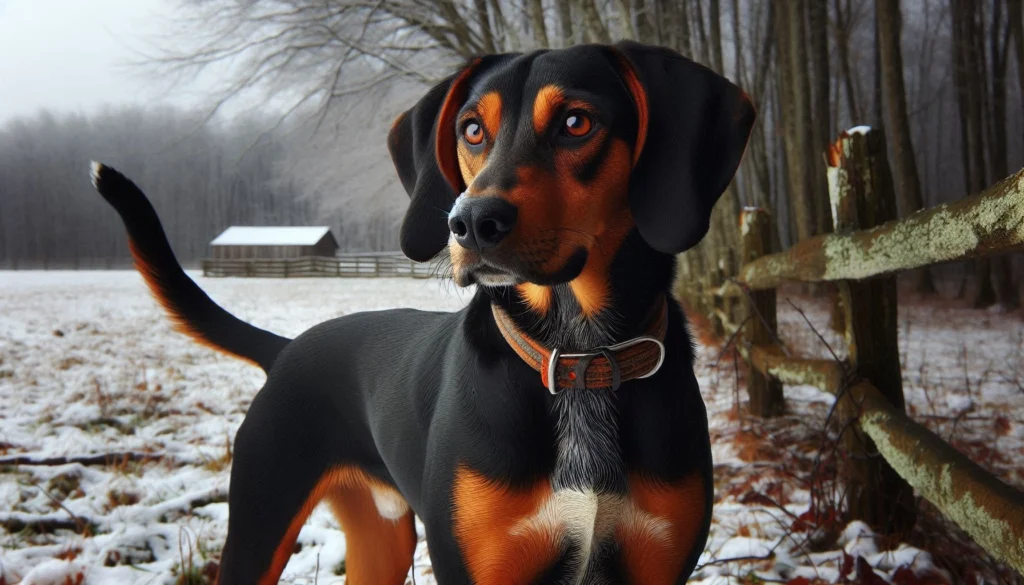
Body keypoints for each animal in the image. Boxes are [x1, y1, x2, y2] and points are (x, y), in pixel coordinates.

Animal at [92, 39, 757, 585]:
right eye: (472, 130)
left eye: (576, 122)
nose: (470, 222)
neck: (576, 353)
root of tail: (287, 349)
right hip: (261, 521)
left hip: (378, 541)